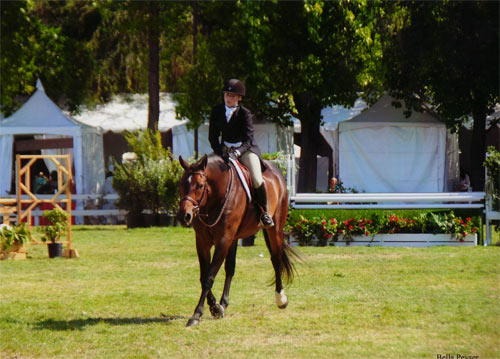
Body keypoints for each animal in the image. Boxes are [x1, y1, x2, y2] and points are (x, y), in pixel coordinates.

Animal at [177, 153, 296, 328]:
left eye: (199, 185)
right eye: (181, 184)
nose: (184, 216)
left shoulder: (223, 240)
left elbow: (209, 277)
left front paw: (196, 314)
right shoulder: (203, 241)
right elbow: (204, 276)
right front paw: (215, 307)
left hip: (275, 228)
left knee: (275, 258)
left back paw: (281, 299)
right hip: (234, 239)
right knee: (230, 268)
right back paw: (223, 303)